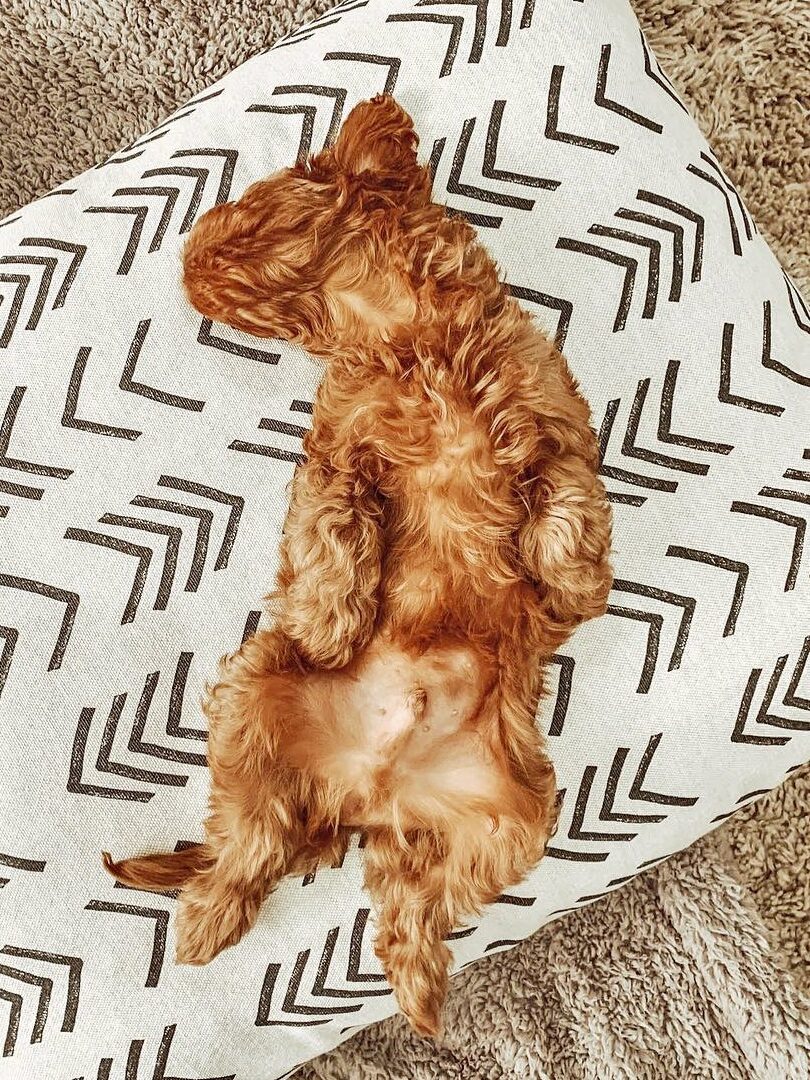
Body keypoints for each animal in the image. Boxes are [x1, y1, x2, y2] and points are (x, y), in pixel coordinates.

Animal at [108, 99, 613, 1036]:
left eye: (249, 212)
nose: (188, 260)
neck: (407, 332)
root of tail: (363, 797)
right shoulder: (338, 456)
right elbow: (333, 528)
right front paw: (331, 622)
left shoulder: (551, 423)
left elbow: (567, 504)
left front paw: (574, 582)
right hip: (256, 693)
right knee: (251, 844)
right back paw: (208, 917)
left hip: (511, 819)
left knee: (408, 898)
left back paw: (418, 986)